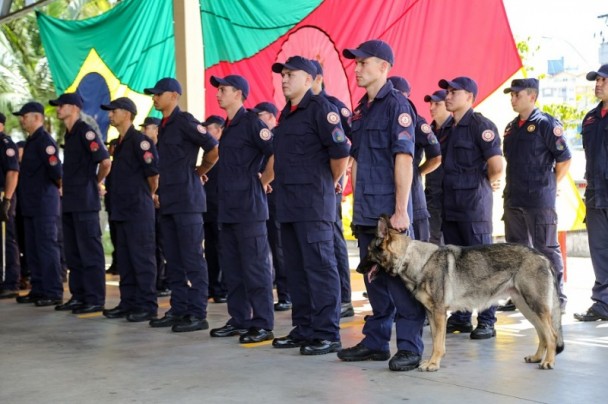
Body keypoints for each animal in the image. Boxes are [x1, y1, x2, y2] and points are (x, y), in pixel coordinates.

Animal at [356, 216, 564, 370]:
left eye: (368, 252)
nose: (357, 269)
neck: (412, 258)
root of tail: (541, 256)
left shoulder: (439, 313)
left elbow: (438, 343)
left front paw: (433, 364)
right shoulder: (432, 314)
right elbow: (436, 341)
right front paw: (431, 361)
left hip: (535, 307)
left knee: (552, 336)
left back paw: (548, 362)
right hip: (527, 308)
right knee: (543, 335)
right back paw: (537, 357)